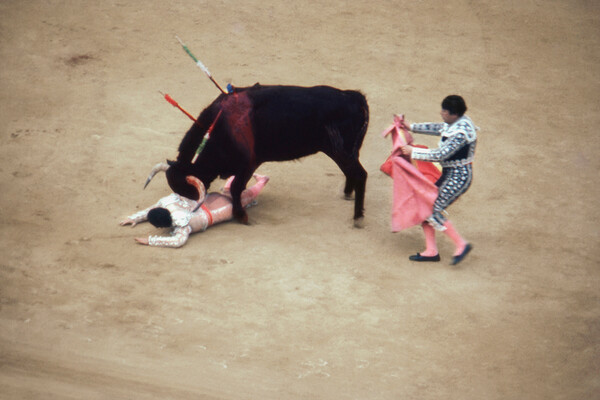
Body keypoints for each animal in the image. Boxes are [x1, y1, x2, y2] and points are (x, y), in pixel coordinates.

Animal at [159, 84, 368, 225]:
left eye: (189, 191)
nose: (191, 212)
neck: (220, 126)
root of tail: (355, 97)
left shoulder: (249, 163)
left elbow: (236, 187)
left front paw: (241, 216)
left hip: (340, 150)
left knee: (360, 174)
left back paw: (357, 217)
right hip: (344, 152)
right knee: (352, 173)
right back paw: (347, 195)